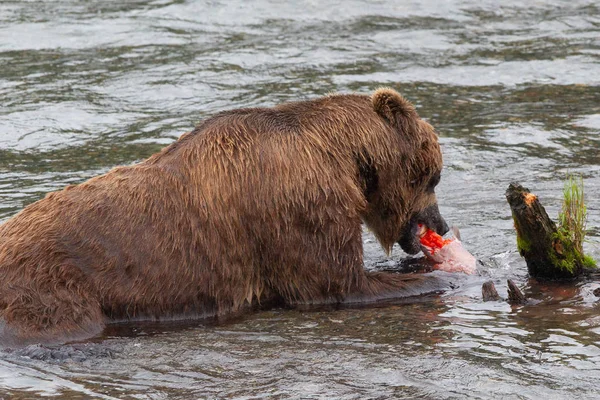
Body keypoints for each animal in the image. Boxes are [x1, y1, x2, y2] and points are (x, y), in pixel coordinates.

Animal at [0, 89, 448, 346]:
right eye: (435, 175)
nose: (441, 224)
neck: (344, 158)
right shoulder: (300, 208)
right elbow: (339, 283)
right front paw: (439, 277)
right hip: (51, 289)